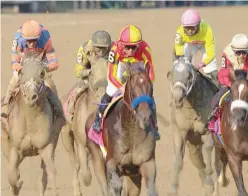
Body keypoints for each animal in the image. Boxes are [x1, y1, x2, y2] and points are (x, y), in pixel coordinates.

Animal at [85, 62, 157, 196]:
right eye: (133, 89)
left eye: (151, 87)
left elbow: (151, 187)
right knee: (105, 186)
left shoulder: (147, 162)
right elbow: (116, 185)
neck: (131, 134)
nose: (145, 115)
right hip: (97, 160)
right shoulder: (112, 161)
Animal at [167, 57, 219, 195]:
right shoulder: (180, 132)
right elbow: (178, 159)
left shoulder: (207, 132)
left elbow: (208, 149)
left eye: (189, 76)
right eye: (171, 74)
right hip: (193, 147)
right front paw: (173, 188)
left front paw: (210, 182)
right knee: (198, 163)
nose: (178, 98)